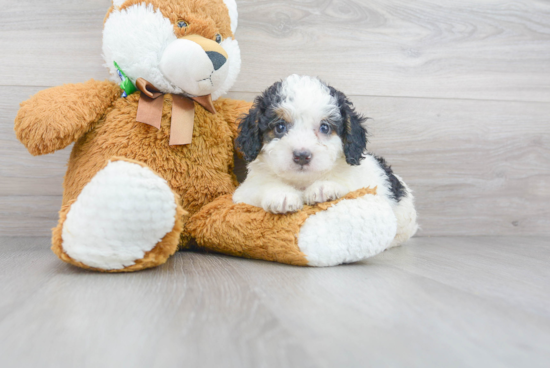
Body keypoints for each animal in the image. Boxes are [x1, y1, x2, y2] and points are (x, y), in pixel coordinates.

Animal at [233, 75, 418, 247]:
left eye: (325, 127)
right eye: (280, 127)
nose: (302, 155)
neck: (302, 182)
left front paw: (324, 187)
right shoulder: (243, 193)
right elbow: (261, 187)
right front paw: (281, 195)